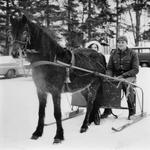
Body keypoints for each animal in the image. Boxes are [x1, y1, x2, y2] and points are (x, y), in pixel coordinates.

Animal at [9, 15, 106, 144]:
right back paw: (90, 121)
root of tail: (99, 54)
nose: (15, 53)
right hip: (84, 87)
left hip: (94, 85)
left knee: (90, 104)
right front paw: (37, 133)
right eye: (12, 32)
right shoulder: (41, 91)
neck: (50, 61)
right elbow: (41, 113)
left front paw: (59, 136)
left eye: (25, 32)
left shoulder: (56, 92)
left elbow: (57, 114)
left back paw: (84, 126)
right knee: (91, 104)